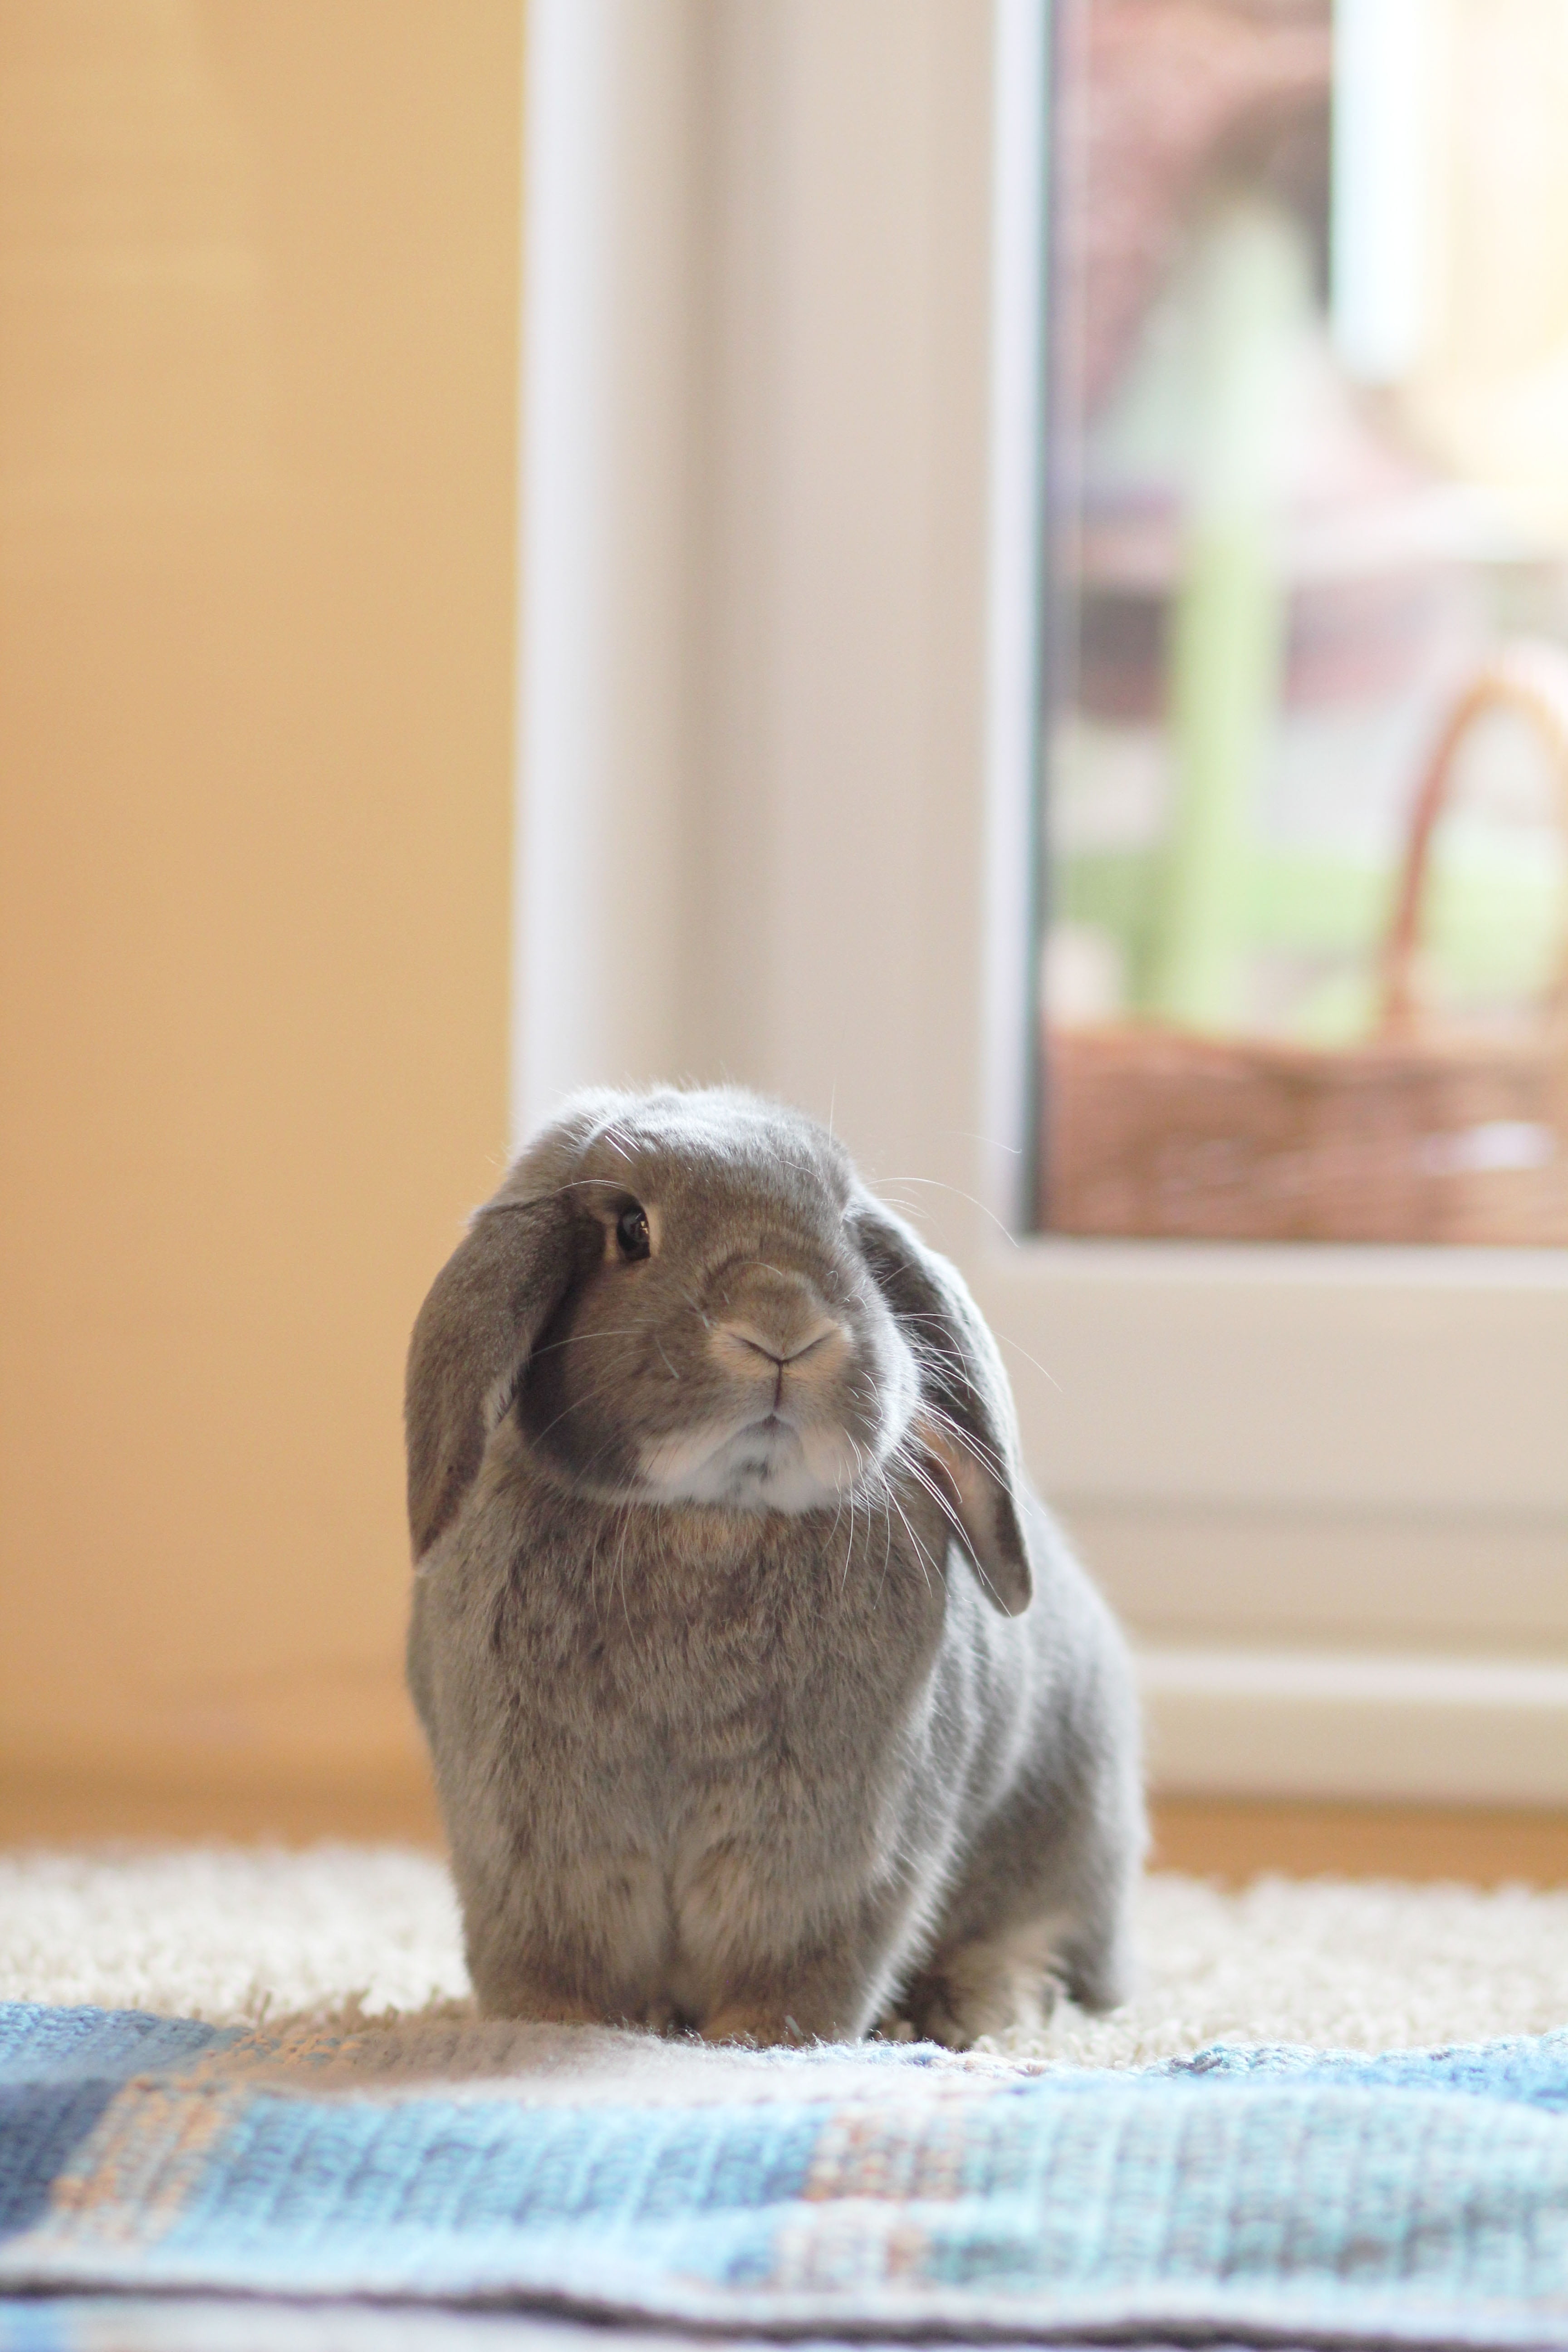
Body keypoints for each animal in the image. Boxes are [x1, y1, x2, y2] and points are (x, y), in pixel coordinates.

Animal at [405, 1085, 1144, 2048]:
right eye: (632, 1229)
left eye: (846, 1229)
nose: (786, 1327)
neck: (712, 1514)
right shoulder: (528, 1832)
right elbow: (551, 1960)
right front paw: (550, 2030)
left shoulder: (839, 1845)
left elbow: (801, 1965)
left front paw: (757, 2046)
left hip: (1068, 1828)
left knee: (1043, 1944)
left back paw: (974, 2009)